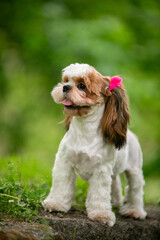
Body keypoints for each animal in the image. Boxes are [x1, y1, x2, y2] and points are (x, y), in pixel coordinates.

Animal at [42, 62, 148, 226]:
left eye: (82, 86)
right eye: (66, 81)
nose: (65, 87)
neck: (85, 129)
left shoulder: (101, 170)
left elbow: (99, 194)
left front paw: (101, 215)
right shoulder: (64, 162)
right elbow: (61, 185)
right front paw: (56, 204)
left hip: (134, 170)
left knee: (135, 190)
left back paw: (134, 211)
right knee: (115, 183)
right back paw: (116, 202)